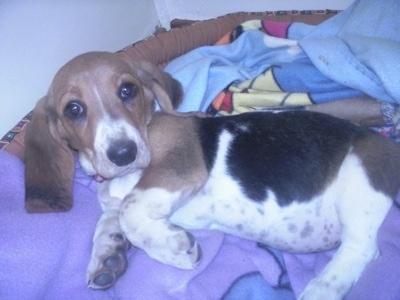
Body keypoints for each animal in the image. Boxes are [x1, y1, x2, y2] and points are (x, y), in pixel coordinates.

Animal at [25, 51, 400, 298]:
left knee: (361, 248)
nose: (123, 154)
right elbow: (110, 220)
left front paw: (173, 247)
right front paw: (107, 257)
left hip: (359, 174)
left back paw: (319, 289)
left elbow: (131, 209)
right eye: (74, 109)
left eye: (127, 90)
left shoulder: (178, 166)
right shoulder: (118, 200)